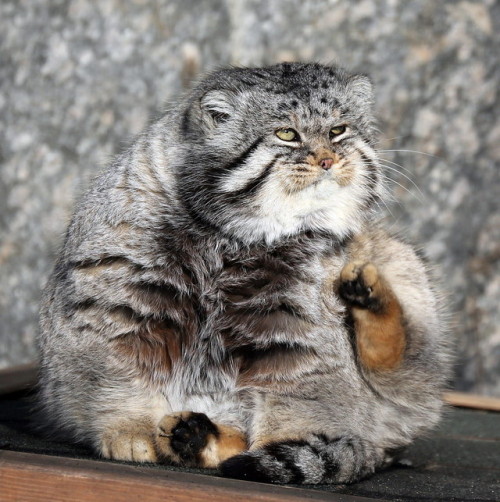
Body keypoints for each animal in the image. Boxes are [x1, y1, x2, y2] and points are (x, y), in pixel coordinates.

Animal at [39, 61, 452, 482]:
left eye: (338, 130)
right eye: (286, 134)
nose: (327, 160)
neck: (234, 238)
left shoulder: (296, 332)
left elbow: (296, 399)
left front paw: (286, 444)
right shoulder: (118, 304)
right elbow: (116, 379)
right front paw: (128, 431)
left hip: (400, 266)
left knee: (396, 362)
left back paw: (370, 299)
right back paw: (196, 437)